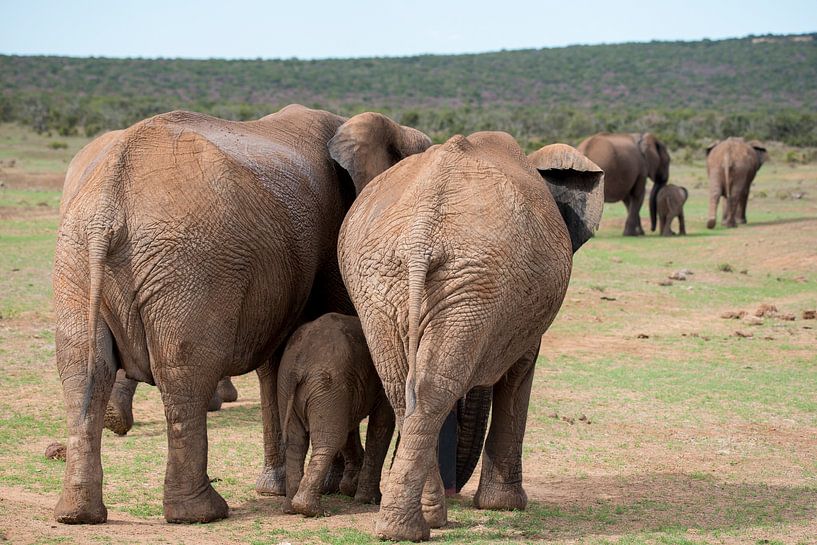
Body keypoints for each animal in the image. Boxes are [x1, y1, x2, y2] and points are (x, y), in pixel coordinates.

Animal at [278, 312, 396, 516]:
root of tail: (297, 365)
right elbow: (382, 423)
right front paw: (369, 499)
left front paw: (351, 489)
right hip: (327, 386)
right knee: (330, 439)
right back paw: (313, 510)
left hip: (287, 385)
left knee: (296, 442)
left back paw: (291, 509)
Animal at [334, 133, 604, 540]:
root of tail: (421, 232)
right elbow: (519, 374)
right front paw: (506, 506)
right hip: (464, 282)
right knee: (433, 388)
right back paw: (416, 527)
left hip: (390, 283)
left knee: (404, 386)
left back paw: (417, 523)